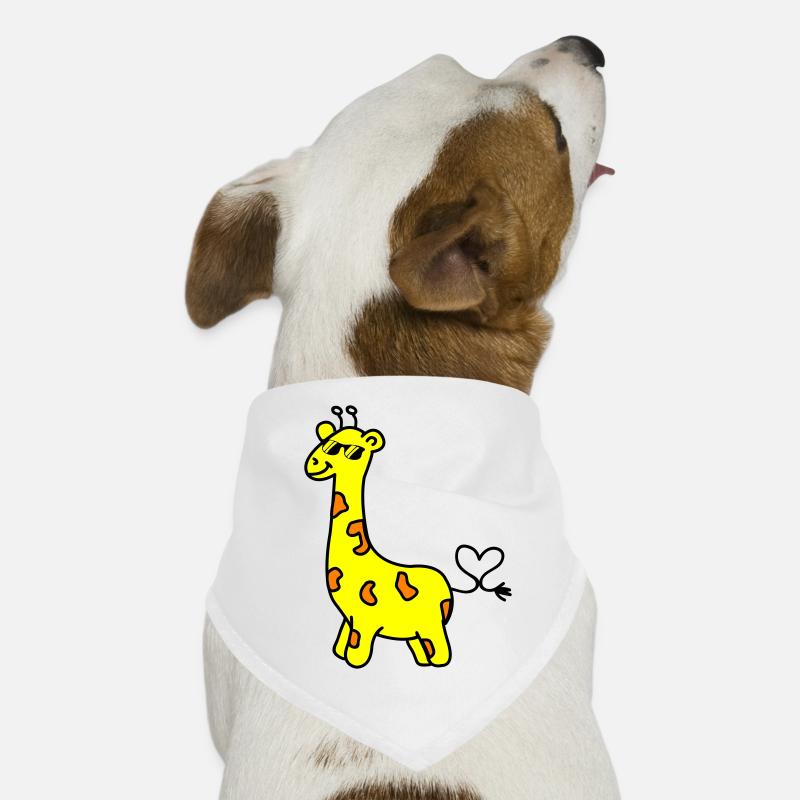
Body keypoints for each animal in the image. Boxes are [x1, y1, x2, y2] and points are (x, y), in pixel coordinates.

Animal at [304, 405, 455, 668]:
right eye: (325, 442)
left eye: (354, 451)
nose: (313, 463)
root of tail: (445, 585)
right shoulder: (349, 618)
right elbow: (342, 646)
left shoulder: (364, 621)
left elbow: (356, 652)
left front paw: (354, 662)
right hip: (416, 629)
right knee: (421, 646)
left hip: (432, 624)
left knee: (441, 651)